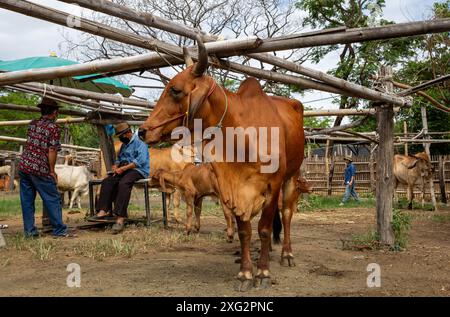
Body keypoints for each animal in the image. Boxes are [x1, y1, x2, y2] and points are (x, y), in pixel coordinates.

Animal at [139, 36, 304, 288]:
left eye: (175, 90)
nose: (142, 131)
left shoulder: (272, 186)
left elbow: (264, 229)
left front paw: (263, 272)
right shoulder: (233, 190)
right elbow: (245, 232)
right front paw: (246, 273)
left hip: (292, 177)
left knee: (286, 214)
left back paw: (287, 254)